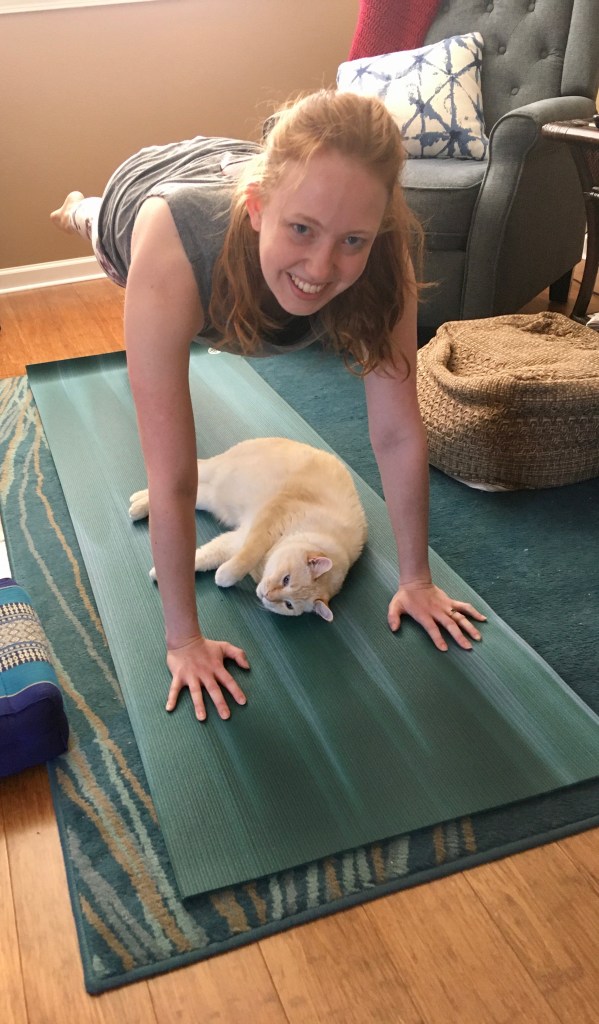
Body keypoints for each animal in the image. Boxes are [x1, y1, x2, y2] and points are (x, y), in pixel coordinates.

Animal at [129, 437, 367, 621]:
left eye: (288, 605)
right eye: (286, 579)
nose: (268, 595)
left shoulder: (236, 540)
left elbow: (205, 557)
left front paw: (162, 573)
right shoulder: (267, 522)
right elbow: (243, 561)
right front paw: (223, 577)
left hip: (213, 496)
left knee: (192, 492)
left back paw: (138, 505)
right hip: (215, 473)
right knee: (193, 470)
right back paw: (137, 503)